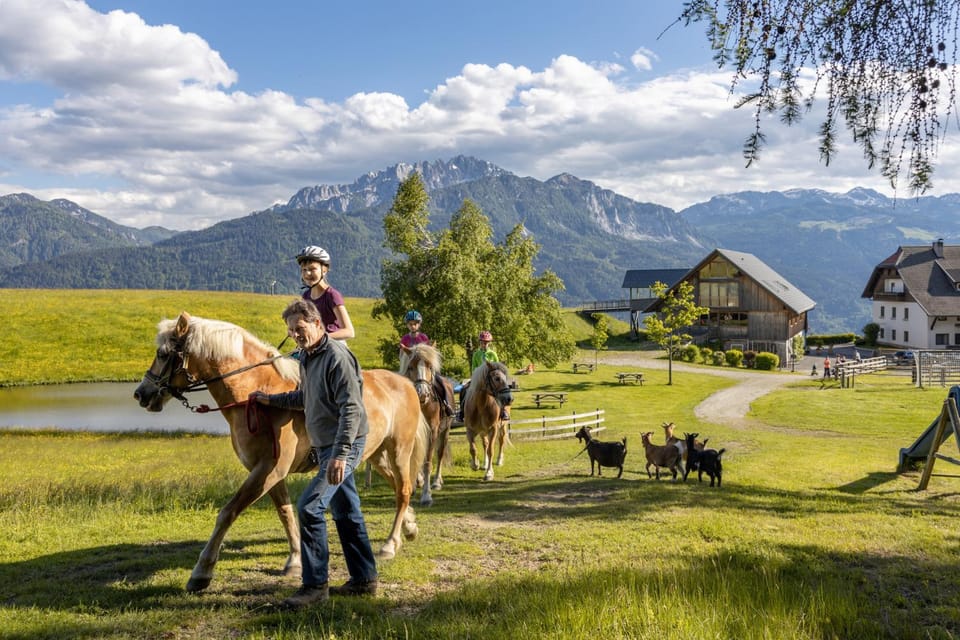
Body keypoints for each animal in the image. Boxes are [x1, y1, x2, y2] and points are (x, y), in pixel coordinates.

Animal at [133, 312, 429, 593]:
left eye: (163, 354)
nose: (140, 394)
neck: (256, 396)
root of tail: (405, 383)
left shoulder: (269, 470)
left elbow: (228, 512)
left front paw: (201, 572)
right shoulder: (270, 472)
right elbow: (285, 513)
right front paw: (295, 561)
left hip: (398, 450)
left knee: (403, 489)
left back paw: (390, 544)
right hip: (375, 455)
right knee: (397, 487)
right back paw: (410, 527)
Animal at [399, 343, 454, 506]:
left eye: (430, 366)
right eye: (410, 367)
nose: (422, 393)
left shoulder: (432, 432)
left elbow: (428, 462)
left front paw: (426, 496)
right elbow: (415, 458)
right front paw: (415, 485)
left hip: (445, 432)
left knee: (440, 454)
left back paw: (436, 482)